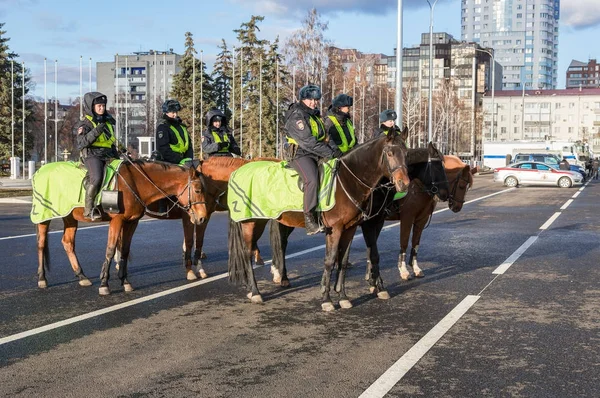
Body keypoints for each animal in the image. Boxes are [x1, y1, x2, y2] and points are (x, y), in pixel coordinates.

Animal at [35, 159, 210, 296]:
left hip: (70, 217)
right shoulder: (117, 220)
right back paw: (42, 278)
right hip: (44, 216)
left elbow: (124, 250)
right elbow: (111, 249)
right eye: (197, 190)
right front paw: (104, 284)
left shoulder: (132, 222)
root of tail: (40, 170)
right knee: (41, 244)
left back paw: (82, 276)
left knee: (68, 242)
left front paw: (125, 281)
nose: (202, 217)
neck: (135, 182)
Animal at [227, 131, 410, 310]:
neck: (348, 180)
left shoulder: (350, 228)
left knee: (276, 246)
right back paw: (255, 292)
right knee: (247, 253)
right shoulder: (337, 228)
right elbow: (330, 260)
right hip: (252, 222)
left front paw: (343, 297)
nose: (404, 184)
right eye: (390, 153)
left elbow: (343, 261)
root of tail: (240, 170)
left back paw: (265, 284)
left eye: (406, 153)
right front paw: (327, 299)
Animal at [360, 153, 474, 286]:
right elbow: (404, 243)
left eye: (467, 187)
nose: (457, 207)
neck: (420, 185)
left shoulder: (421, 220)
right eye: (461, 186)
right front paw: (403, 270)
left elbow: (415, 243)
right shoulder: (407, 218)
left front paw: (415, 268)